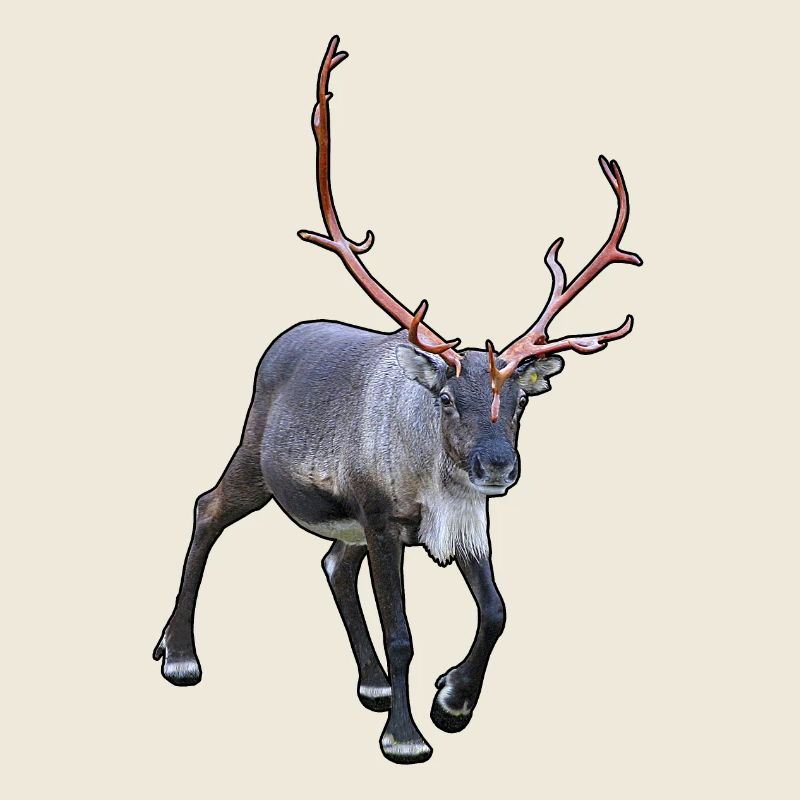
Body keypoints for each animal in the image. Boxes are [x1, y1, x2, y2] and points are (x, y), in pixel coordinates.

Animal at [153, 36, 643, 764]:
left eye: (521, 403)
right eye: (444, 399)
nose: (498, 466)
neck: (437, 479)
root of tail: (283, 338)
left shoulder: (468, 524)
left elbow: (497, 611)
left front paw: (452, 702)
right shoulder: (383, 519)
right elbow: (404, 632)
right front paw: (407, 737)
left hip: (342, 519)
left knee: (332, 561)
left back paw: (370, 683)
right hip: (254, 457)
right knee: (207, 509)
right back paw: (180, 653)